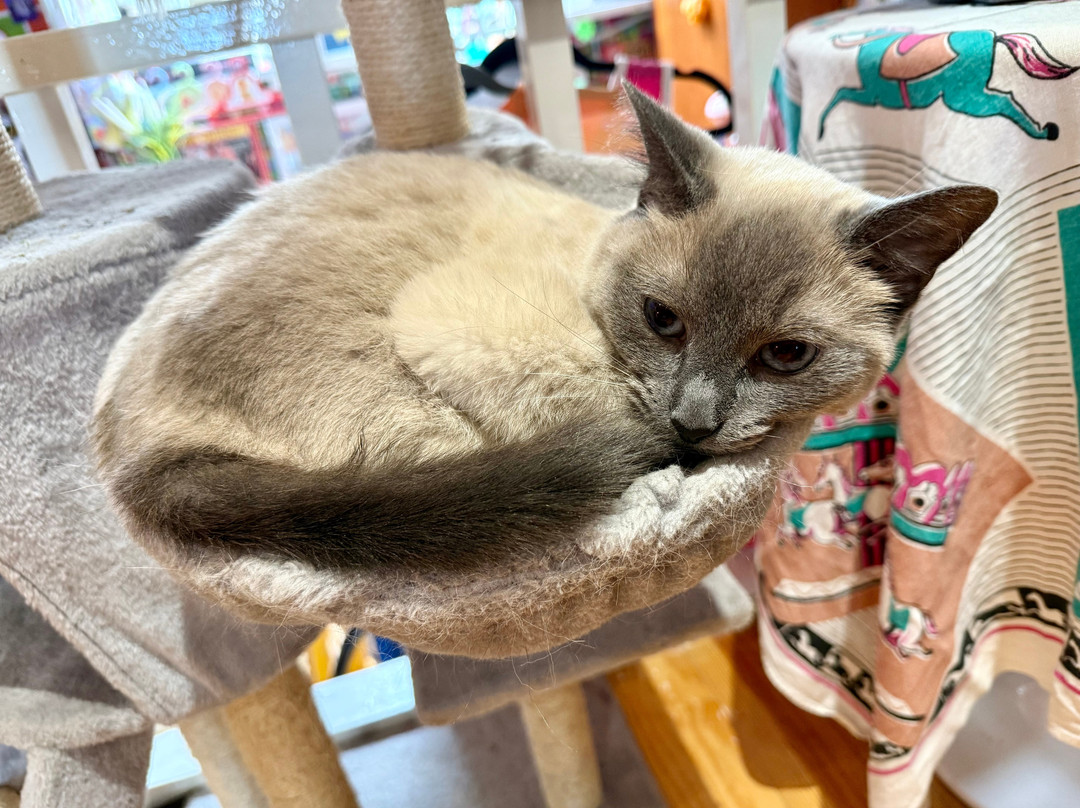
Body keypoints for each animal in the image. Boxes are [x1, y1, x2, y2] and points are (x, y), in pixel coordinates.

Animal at [91, 87, 996, 578]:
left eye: (786, 355)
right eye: (662, 320)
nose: (695, 420)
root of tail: (130, 450)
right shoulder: (461, 339)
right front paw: (665, 474)